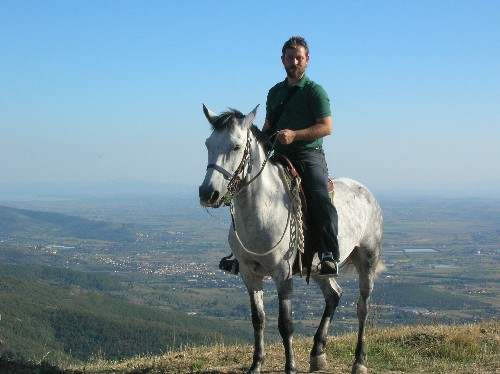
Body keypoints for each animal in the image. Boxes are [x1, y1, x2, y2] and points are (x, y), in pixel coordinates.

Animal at [198, 105, 382, 374]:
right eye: (208, 144)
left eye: (236, 146)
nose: (207, 193)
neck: (261, 209)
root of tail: (366, 192)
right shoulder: (249, 274)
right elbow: (258, 319)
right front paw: (256, 364)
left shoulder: (282, 273)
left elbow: (286, 323)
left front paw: (290, 367)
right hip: (317, 268)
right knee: (334, 294)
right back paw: (318, 353)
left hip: (367, 258)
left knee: (363, 307)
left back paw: (359, 361)